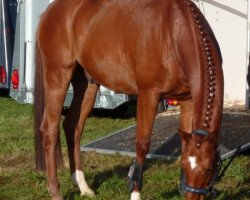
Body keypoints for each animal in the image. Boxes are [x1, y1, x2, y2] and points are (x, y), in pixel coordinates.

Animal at [34, 0, 224, 200]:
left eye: (210, 169)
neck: (175, 32)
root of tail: (50, 11)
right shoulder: (148, 94)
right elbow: (142, 144)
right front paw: (135, 193)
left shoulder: (187, 99)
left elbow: (183, 142)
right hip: (58, 76)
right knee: (49, 130)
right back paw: (55, 191)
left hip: (87, 84)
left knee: (73, 127)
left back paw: (83, 186)